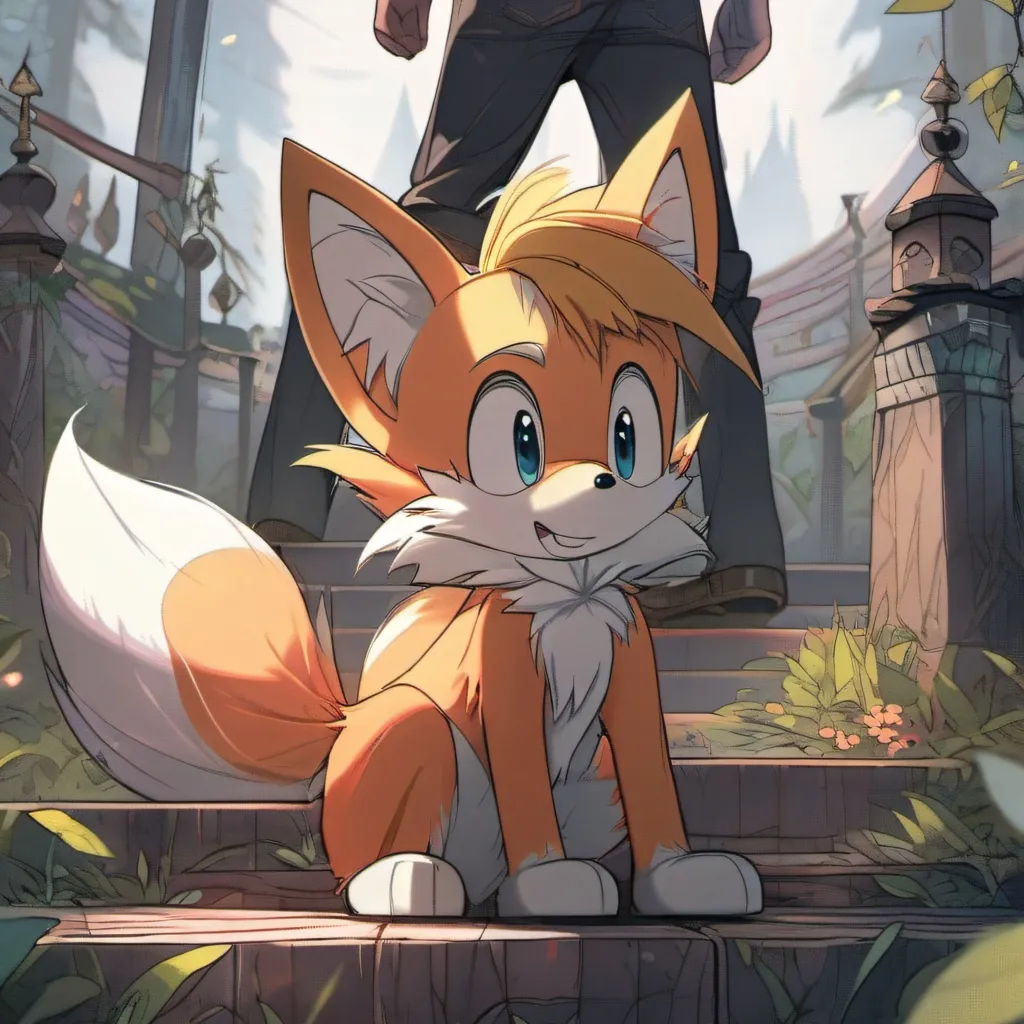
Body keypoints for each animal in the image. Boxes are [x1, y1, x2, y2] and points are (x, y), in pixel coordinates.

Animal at [40, 90, 764, 919]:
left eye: (628, 434)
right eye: (520, 439)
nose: (601, 487)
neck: (571, 603)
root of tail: (344, 721)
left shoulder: (633, 678)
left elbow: (655, 782)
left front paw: (681, 876)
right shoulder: (504, 691)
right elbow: (525, 788)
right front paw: (549, 883)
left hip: (588, 782)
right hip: (411, 727)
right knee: (374, 851)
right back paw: (409, 878)